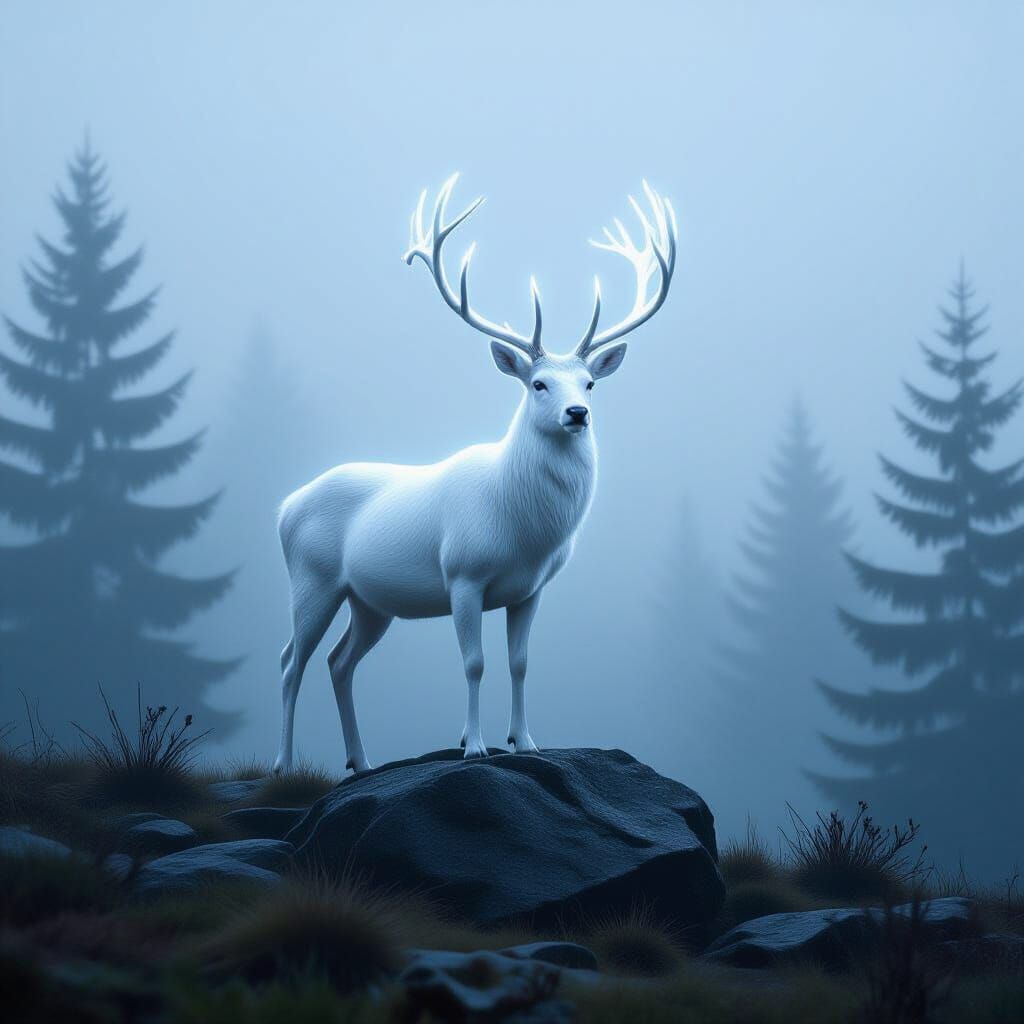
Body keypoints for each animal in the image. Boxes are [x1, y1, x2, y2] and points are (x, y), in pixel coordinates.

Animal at [272, 175, 677, 775]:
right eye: (538, 384)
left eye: (589, 383)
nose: (577, 413)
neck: (525, 528)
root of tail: (284, 507)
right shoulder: (463, 574)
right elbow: (474, 663)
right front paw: (476, 745)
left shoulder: (529, 589)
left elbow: (520, 662)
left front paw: (527, 741)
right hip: (312, 579)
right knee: (289, 661)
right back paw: (282, 764)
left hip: (369, 601)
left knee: (339, 662)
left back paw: (361, 762)